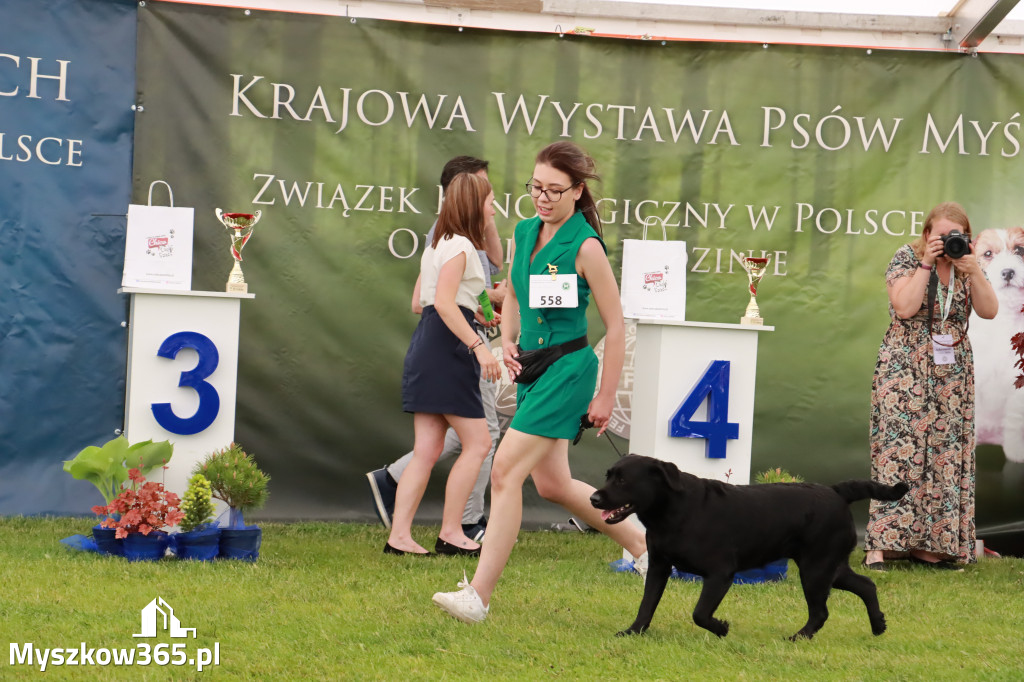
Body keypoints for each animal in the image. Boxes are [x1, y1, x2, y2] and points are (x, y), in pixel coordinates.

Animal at [589, 454, 909, 638]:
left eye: (623, 480)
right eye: (608, 475)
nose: (593, 498)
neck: (673, 510)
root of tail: (836, 491)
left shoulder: (720, 573)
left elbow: (700, 613)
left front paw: (721, 628)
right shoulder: (658, 566)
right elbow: (646, 605)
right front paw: (633, 632)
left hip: (816, 569)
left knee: (821, 612)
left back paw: (798, 637)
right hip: (829, 566)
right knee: (866, 585)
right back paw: (878, 626)